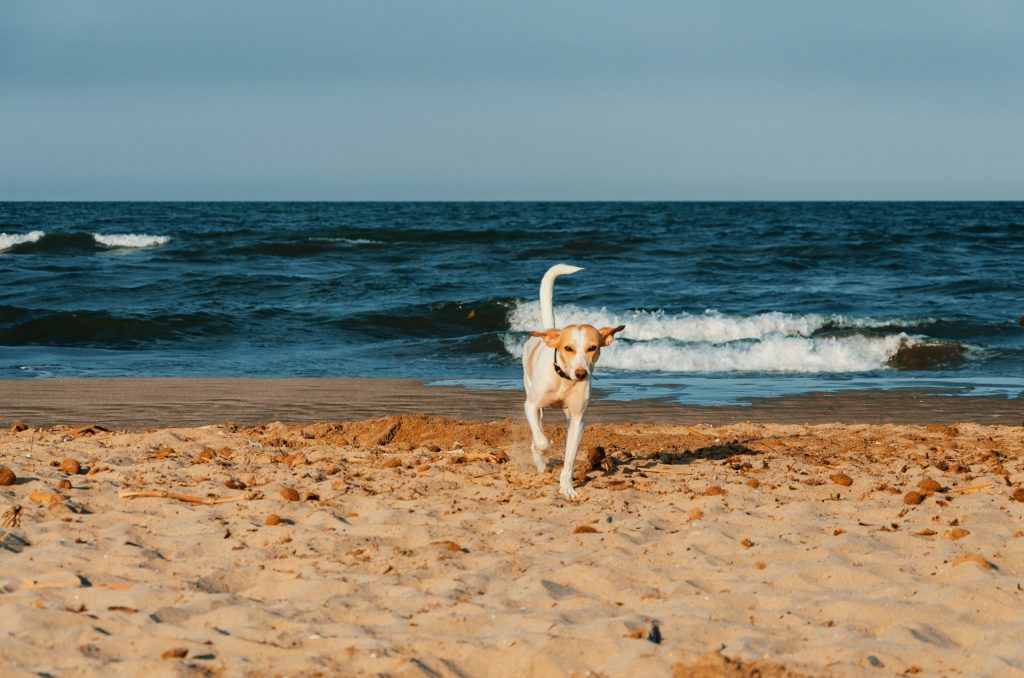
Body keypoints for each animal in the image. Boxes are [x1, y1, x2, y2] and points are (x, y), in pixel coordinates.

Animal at [520, 264, 622, 499]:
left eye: (593, 348)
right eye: (568, 348)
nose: (582, 374)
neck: (564, 379)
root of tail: (549, 331)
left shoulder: (577, 420)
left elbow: (570, 458)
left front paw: (566, 487)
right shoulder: (531, 406)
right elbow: (541, 440)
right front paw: (545, 447)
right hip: (534, 398)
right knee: (537, 431)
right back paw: (540, 462)